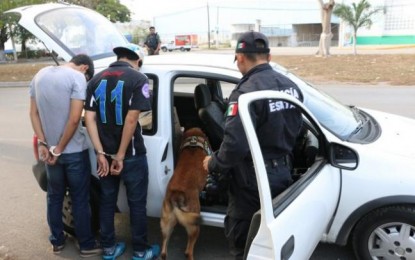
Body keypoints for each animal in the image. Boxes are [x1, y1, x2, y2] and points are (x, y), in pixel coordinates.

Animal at [159, 127, 211, 260]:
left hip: (167, 222)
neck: (193, 142)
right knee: (188, 251)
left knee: (163, 250)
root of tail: (176, 197)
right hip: (194, 225)